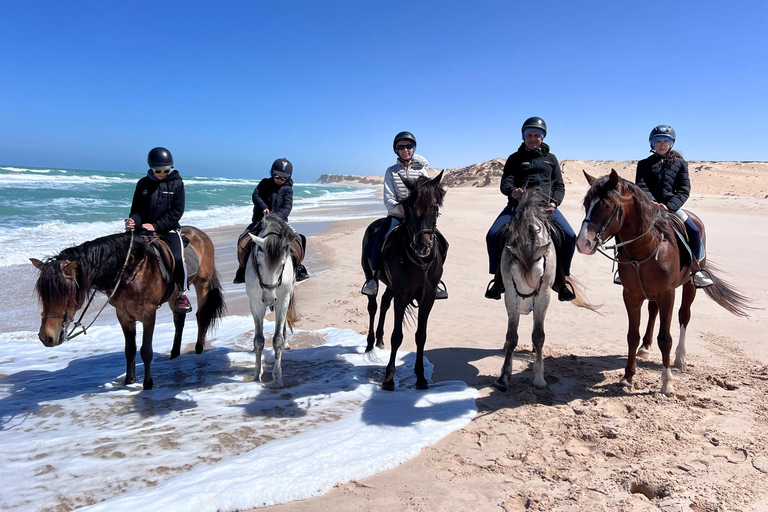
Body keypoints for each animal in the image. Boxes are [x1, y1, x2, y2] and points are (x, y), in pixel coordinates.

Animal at [31, 226, 226, 390]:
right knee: (179, 320)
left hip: (203, 283)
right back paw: (174, 354)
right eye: (43, 294)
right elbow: (130, 349)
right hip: (174, 295)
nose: (46, 337)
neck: (128, 270)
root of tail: (200, 233)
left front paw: (148, 384)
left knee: (201, 315)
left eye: (65, 293)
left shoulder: (148, 314)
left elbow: (146, 350)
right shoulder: (123, 315)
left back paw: (199, 349)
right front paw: (129, 381)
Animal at [245, 214, 299, 389]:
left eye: (282, 264)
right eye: (259, 263)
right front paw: (256, 375)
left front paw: (277, 378)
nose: (269, 299)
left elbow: (277, 340)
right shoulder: (255, 303)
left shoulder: (282, 301)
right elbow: (259, 340)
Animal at [361, 171, 446, 391]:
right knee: (373, 306)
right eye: (409, 207)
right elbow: (397, 336)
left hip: (391, 286)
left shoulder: (428, 298)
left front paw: (421, 377)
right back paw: (370, 344)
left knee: (384, 303)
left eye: (435, 207)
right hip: (371, 276)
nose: (423, 246)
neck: (421, 264)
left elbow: (421, 336)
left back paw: (379, 340)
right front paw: (389, 378)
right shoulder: (402, 297)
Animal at [576, 170, 751, 394]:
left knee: (684, 315)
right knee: (653, 311)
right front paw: (627, 377)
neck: (645, 249)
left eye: (607, 205)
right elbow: (632, 335)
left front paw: (667, 383)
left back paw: (680, 359)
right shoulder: (631, 295)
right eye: (586, 203)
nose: (583, 243)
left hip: (690, 286)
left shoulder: (667, 294)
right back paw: (645, 348)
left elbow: (665, 339)